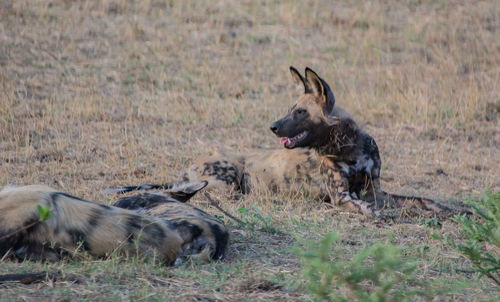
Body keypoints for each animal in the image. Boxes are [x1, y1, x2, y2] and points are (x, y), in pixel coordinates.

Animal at [109, 67, 460, 218]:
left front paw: (455, 211)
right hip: (227, 185)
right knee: (190, 194)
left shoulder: (377, 191)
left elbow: (421, 200)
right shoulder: (344, 196)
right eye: (291, 109)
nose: (273, 126)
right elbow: (370, 210)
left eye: (300, 111)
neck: (350, 148)